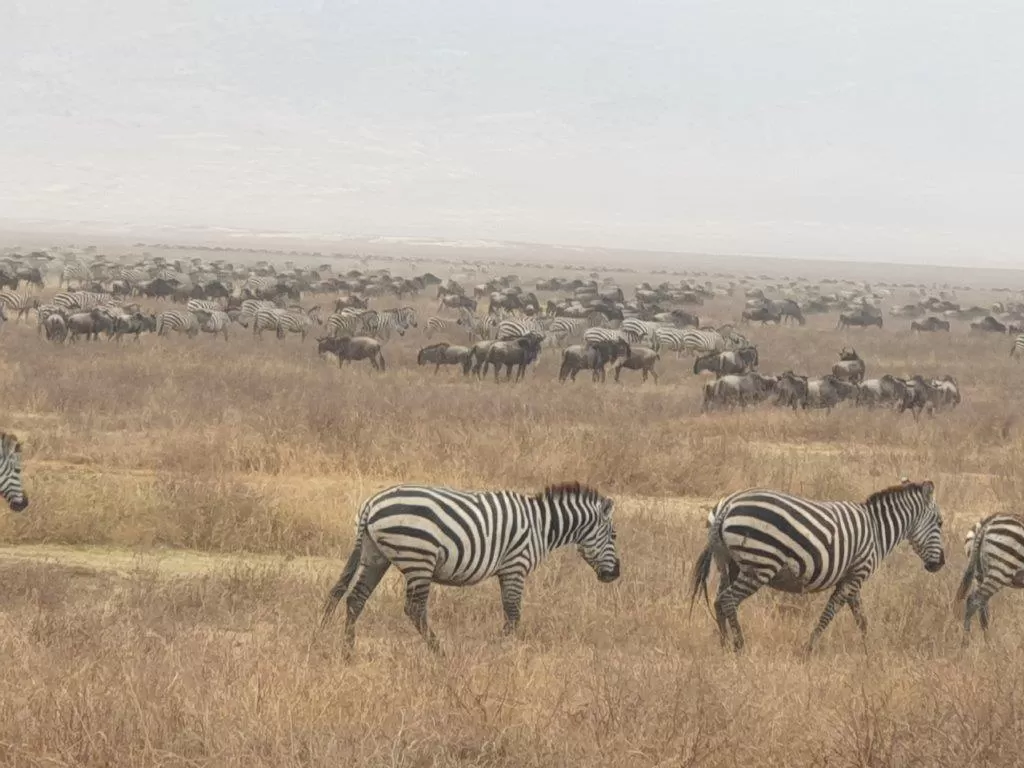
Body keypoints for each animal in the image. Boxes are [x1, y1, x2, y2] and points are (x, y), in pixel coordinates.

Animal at [319, 483, 618, 651]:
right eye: (614, 536)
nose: (615, 574)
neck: (542, 526)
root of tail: (371, 504)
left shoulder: (507, 570)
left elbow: (510, 613)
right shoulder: (515, 565)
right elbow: (513, 614)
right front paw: (499, 650)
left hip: (376, 555)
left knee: (354, 598)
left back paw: (348, 653)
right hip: (419, 557)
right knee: (414, 609)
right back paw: (439, 653)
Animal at [692, 481, 946, 655]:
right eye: (940, 523)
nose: (940, 564)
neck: (876, 530)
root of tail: (727, 506)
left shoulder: (851, 577)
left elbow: (861, 616)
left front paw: (869, 650)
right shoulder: (856, 575)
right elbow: (830, 612)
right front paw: (808, 648)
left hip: (730, 564)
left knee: (719, 601)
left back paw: (724, 645)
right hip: (760, 565)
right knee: (728, 600)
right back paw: (740, 647)